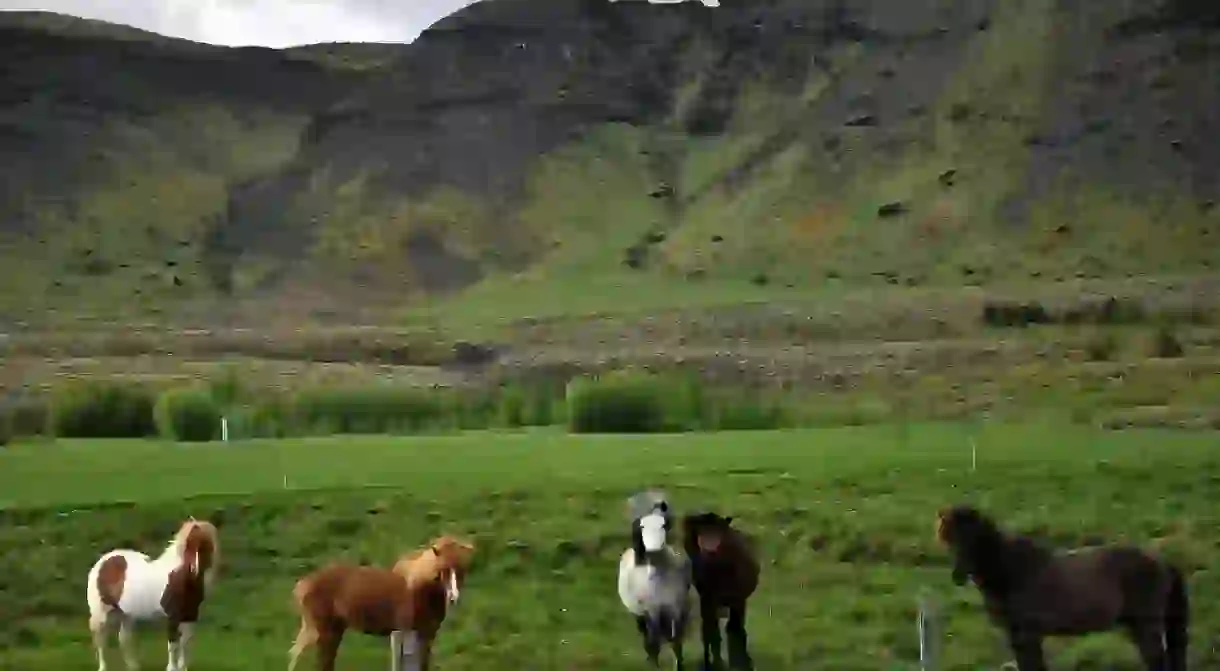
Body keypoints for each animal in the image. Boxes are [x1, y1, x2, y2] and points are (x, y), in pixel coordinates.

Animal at [84, 519, 220, 671]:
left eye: (205, 544)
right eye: (188, 544)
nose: (194, 569)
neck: (181, 579)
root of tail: (102, 562)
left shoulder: (190, 617)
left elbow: (185, 643)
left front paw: (182, 667)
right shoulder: (172, 618)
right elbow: (173, 645)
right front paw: (172, 668)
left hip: (125, 614)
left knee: (124, 638)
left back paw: (133, 666)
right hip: (101, 612)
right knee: (101, 639)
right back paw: (103, 667)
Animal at [287, 536, 473, 671]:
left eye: (461, 569)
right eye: (443, 570)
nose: (453, 598)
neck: (419, 589)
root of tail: (306, 582)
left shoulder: (424, 634)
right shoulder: (405, 632)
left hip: (333, 630)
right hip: (326, 632)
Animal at [683, 512, 756, 668]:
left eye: (718, 532)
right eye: (700, 531)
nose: (709, 549)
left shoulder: (738, 599)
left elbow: (736, 630)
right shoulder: (707, 598)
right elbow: (710, 632)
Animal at [936, 505, 1185, 671]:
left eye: (974, 538)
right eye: (949, 540)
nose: (958, 576)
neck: (1014, 571)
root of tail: (1161, 561)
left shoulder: (1028, 635)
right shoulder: (1017, 636)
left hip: (1146, 625)